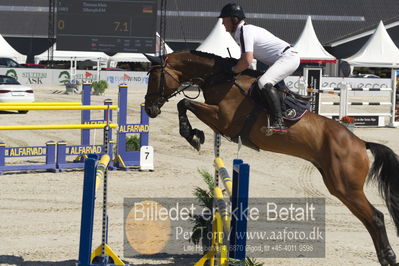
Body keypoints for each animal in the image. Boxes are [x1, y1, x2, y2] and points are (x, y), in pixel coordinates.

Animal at [145, 50, 399, 264]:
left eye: (154, 78)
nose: (149, 109)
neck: (220, 79)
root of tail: (360, 143)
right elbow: (185, 103)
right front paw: (195, 134)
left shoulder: (223, 119)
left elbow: (184, 102)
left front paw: (193, 135)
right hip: (338, 184)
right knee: (369, 219)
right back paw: (383, 256)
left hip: (345, 186)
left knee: (375, 217)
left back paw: (388, 255)